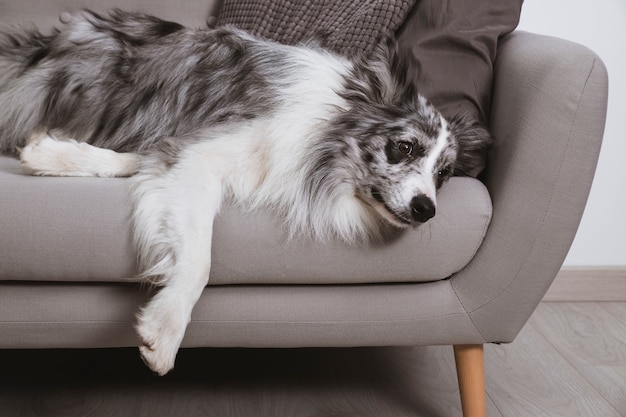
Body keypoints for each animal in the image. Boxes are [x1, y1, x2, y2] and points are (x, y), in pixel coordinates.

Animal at [0, 8, 488, 374]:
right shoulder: (200, 154)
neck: (323, 129)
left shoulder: (181, 147)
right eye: (404, 147)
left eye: (444, 174)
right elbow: (199, 259)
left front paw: (54, 155)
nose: (426, 209)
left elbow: (143, 163)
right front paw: (165, 331)